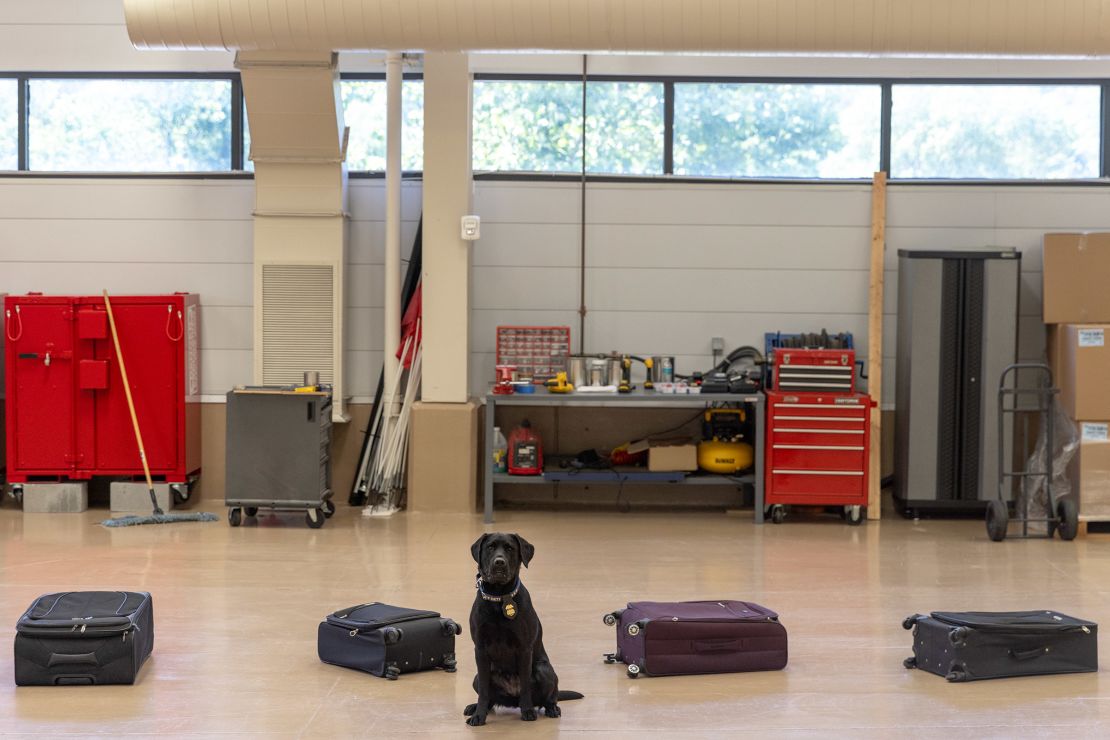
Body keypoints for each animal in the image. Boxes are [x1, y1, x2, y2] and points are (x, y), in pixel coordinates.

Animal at [463, 534, 581, 727]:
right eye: (490, 547)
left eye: (510, 548)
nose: (499, 562)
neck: (499, 598)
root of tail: (512, 700)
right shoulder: (480, 649)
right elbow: (484, 693)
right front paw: (479, 715)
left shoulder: (524, 648)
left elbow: (525, 684)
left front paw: (527, 711)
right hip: (477, 678)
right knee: (489, 697)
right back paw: (474, 708)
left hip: (544, 670)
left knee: (550, 697)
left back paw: (551, 709)